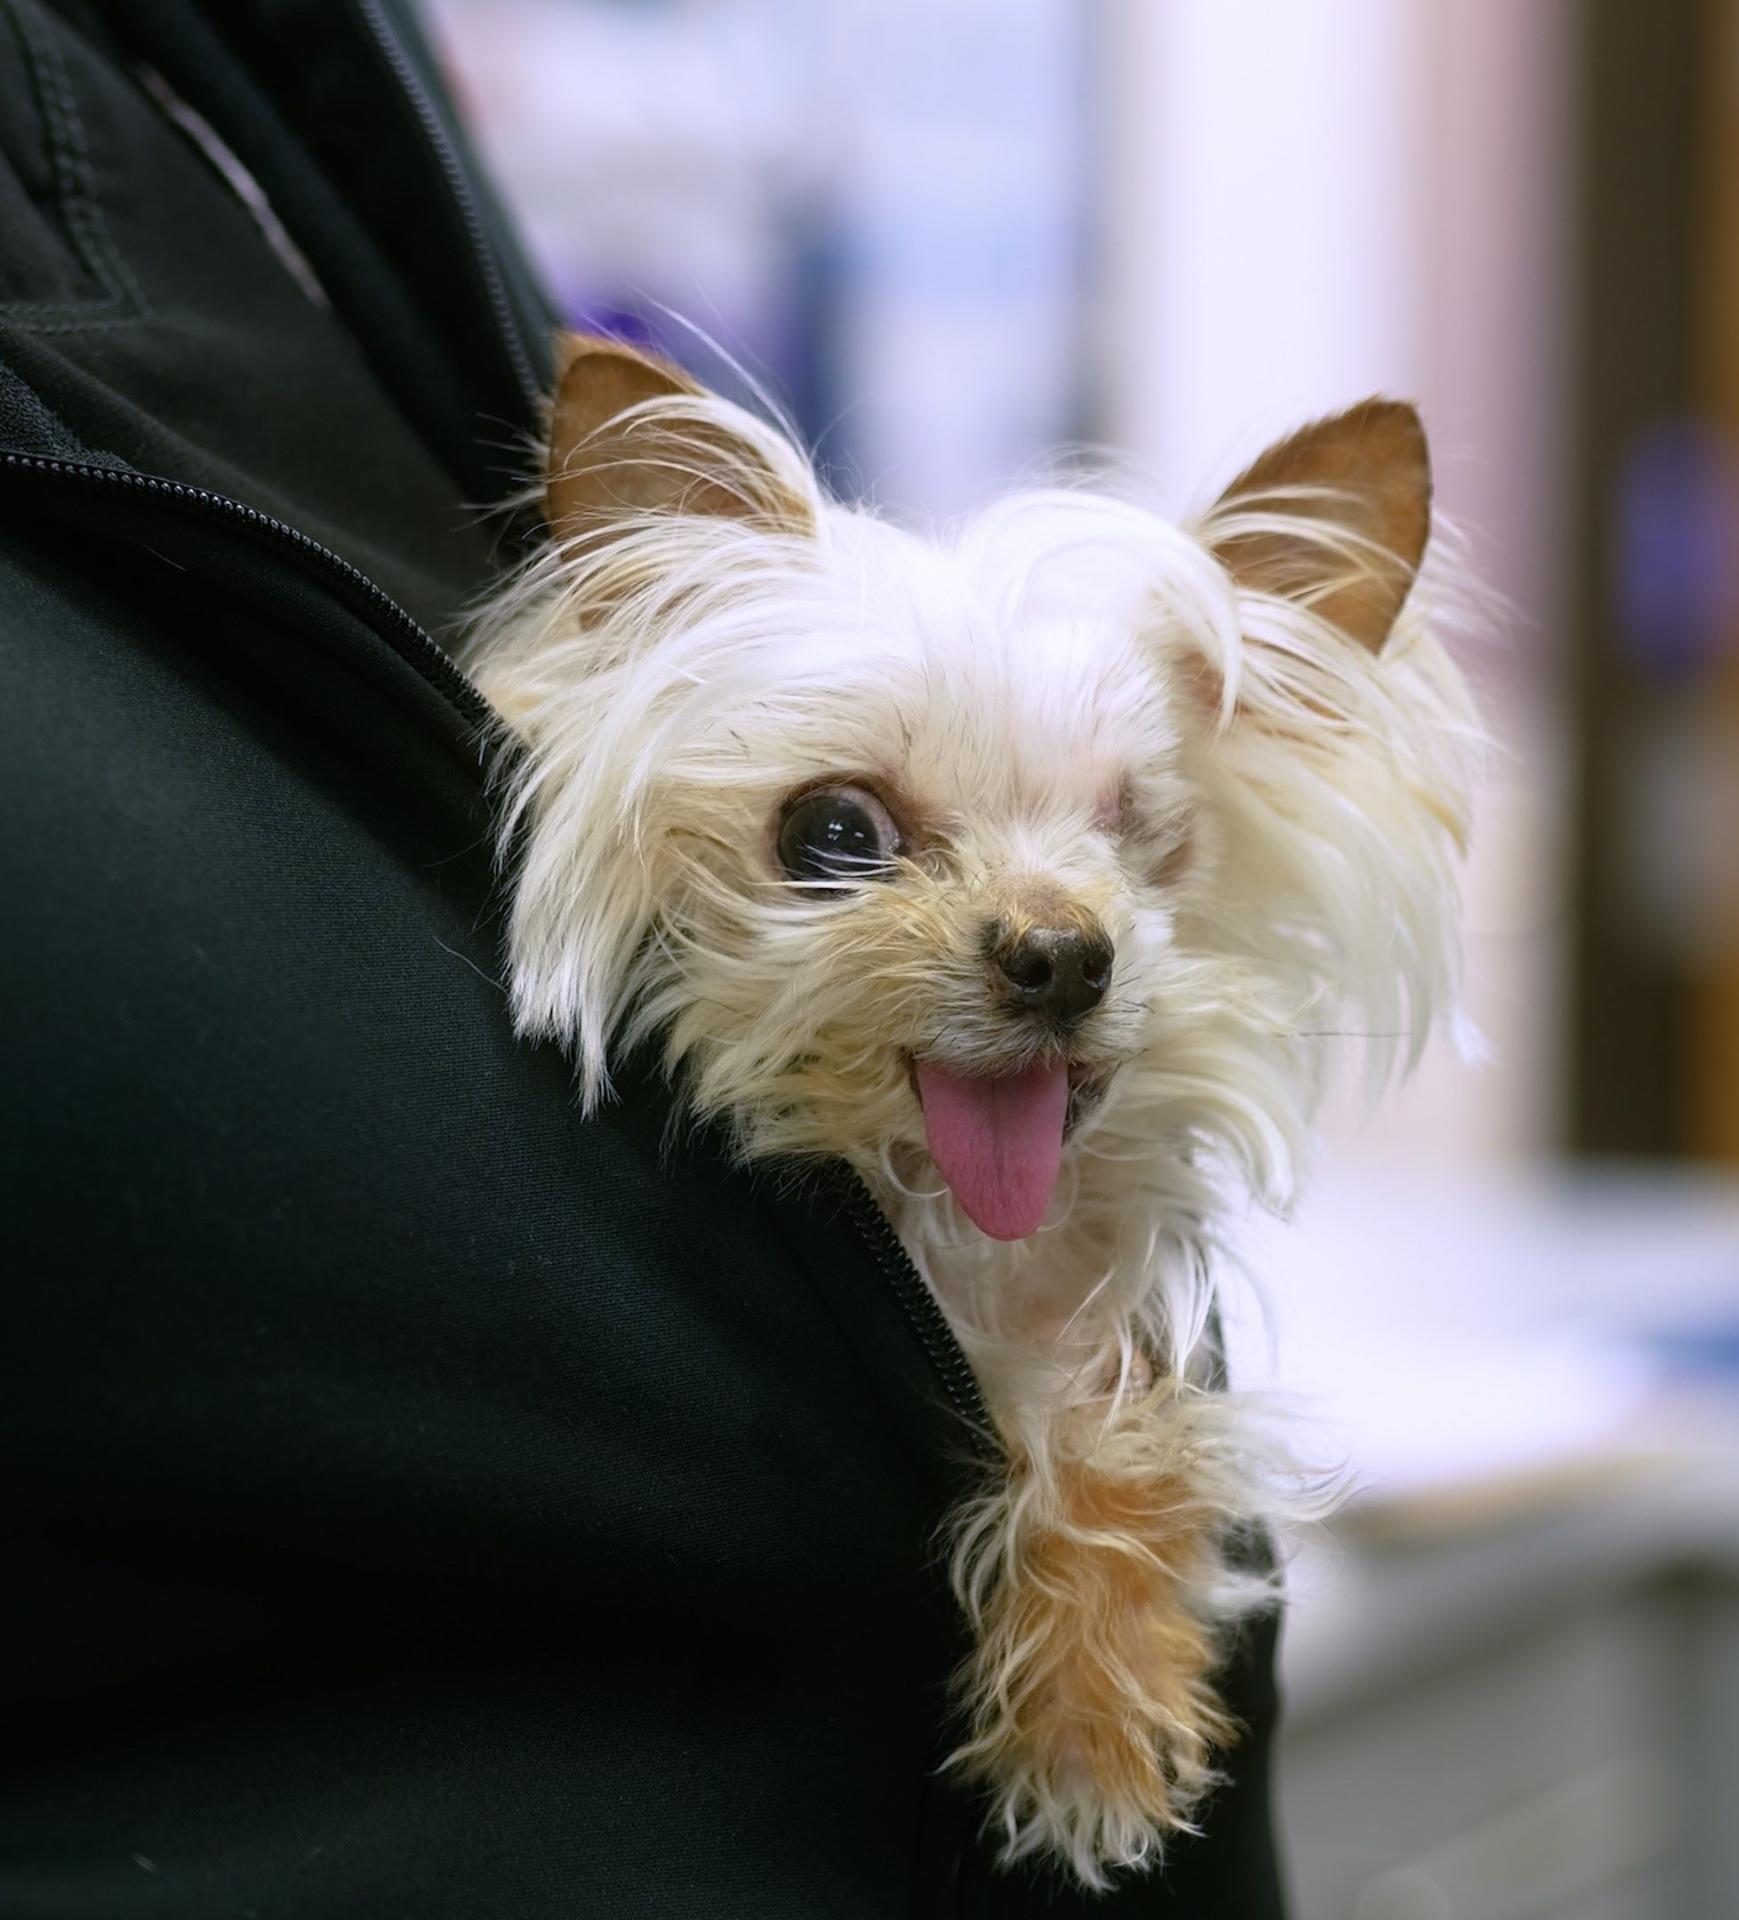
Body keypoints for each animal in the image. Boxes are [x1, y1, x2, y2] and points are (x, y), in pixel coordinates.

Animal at [460, 334, 1474, 1889]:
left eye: (1139, 836)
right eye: (833, 833)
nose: (1063, 954)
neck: (953, 1230)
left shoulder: (1115, 1310)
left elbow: (1119, 1437)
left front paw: (1092, 1715)